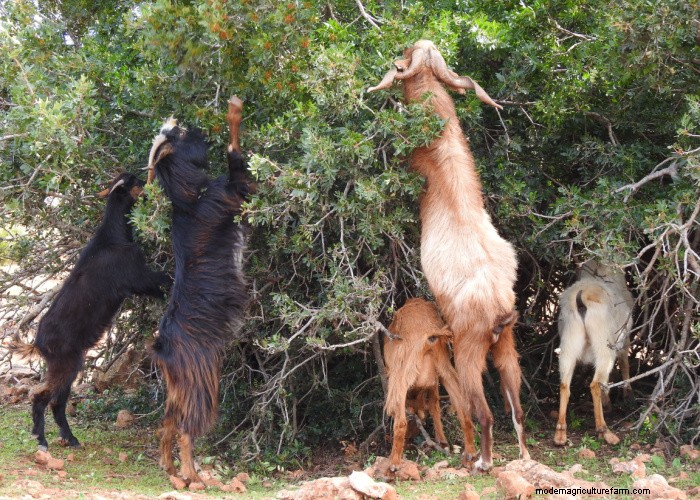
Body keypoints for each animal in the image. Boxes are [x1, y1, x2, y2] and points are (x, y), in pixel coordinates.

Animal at [10, 173, 170, 451]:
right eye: (136, 182)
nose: (156, 187)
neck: (114, 236)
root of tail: (37, 343)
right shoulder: (138, 278)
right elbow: (163, 279)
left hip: (69, 365)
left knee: (57, 402)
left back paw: (70, 438)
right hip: (66, 363)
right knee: (43, 397)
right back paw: (42, 439)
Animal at [146, 96, 249, 484]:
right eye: (179, 134)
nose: (200, 131)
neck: (189, 201)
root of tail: (163, 349)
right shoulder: (233, 195)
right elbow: (236, 157)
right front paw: (234, 109)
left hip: (178, 388)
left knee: (166, 425)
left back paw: (170, 467)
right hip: (201, 384)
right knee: (187, 429)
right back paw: (193, 476)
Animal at [383, 298, 474, 471]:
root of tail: (428, 334)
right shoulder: (434, 384)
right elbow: (434, 405)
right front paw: (442, 441)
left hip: (401, 377)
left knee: (400, 423)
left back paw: (393, 463)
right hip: (446, 370)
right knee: (464, 414)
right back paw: (469, 457)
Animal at [554, 261, 633, 446]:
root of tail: (581, 300)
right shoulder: (623, 339)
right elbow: (624, 363)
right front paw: (626, 394)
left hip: (569, 342)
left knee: (564, 384)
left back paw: (560, 434)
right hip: (604, 345)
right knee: (596, 383)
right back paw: (604, 431)